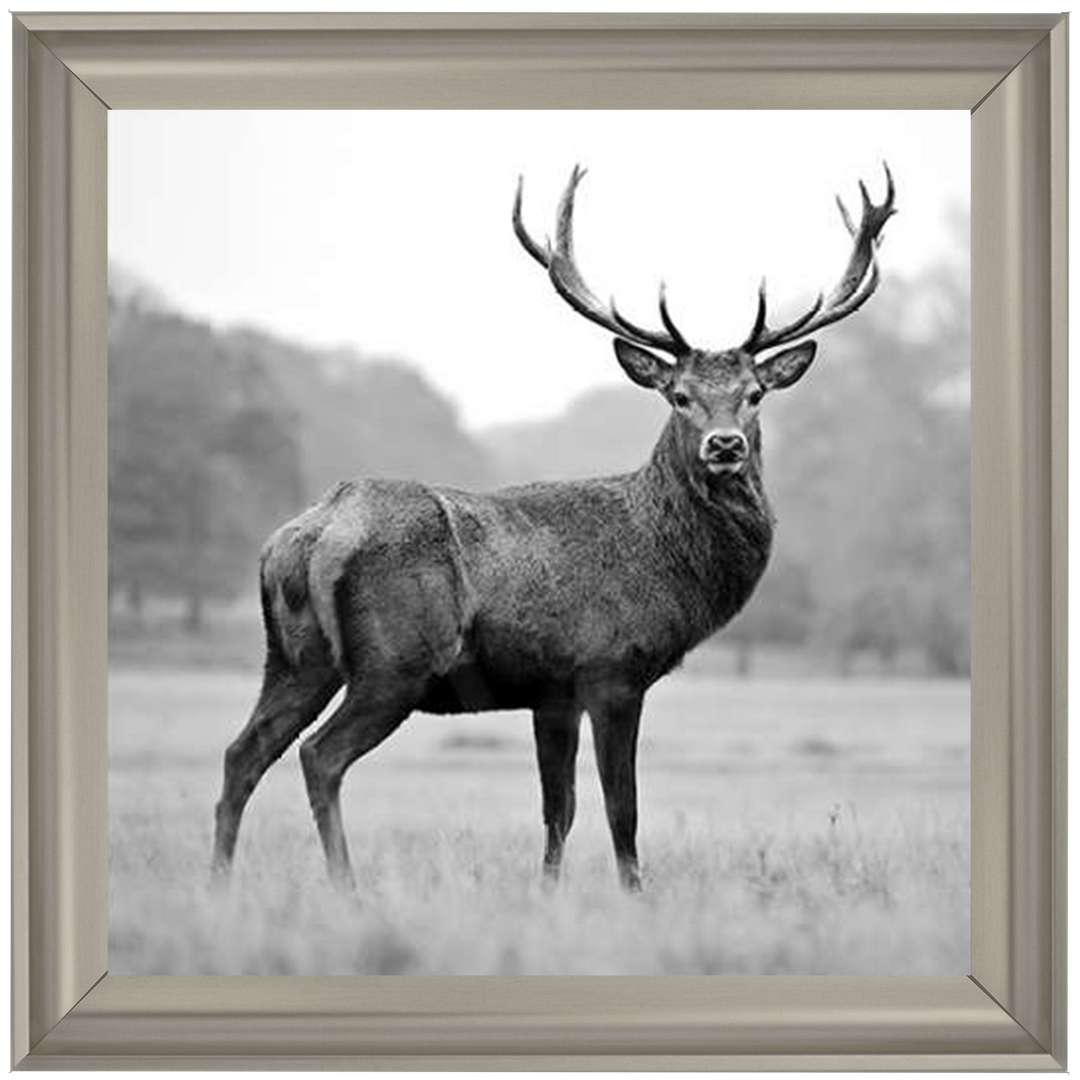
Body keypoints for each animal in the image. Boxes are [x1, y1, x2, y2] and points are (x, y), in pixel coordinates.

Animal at [211, 164, 896, 892]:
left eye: (755, 394)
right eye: (678, 395)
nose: (725, 445)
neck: (666, 562)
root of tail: (311, 533)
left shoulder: (552, 692)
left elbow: (557, 809)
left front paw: (547, 892)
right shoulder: (612, 669)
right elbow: (622, 807)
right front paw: (635, 895)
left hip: (294, 656)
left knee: (242, 752)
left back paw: (219, 881)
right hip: (395, 661)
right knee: (320, 755)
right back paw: (346, 887)